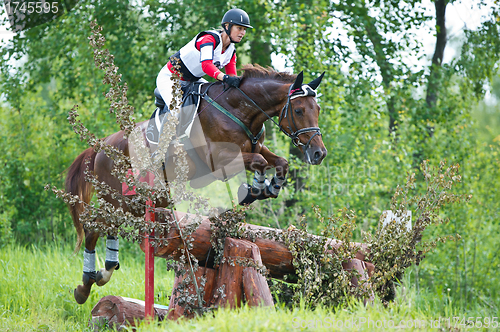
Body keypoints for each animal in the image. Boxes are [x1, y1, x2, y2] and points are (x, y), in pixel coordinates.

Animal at [65, 63, 328, 304]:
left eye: (317, 109)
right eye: (299, 110)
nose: (318, 154)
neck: (238, 110)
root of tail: (101, 146)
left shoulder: (257, 147)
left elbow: (280, 162)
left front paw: (267, 188)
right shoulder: (218, 159)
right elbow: (260, 162)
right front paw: (253, 190)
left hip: (140, 201)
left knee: (109, 226)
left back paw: (103, 272)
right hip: (118, 197)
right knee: (93, 228)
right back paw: (85, 286)